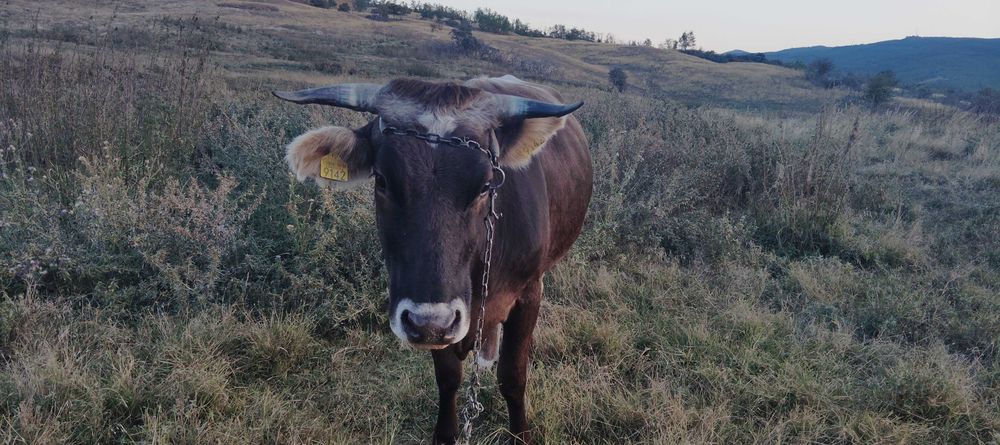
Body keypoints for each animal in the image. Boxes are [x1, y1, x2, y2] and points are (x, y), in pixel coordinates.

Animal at [273, 75, 592, 444]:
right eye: (382, 179)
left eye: (486, 185)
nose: (429, 322)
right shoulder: (440, 323)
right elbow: (448, 377)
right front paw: (445, 433)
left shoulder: (529, 294)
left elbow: (513, 376)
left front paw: (520, 434)